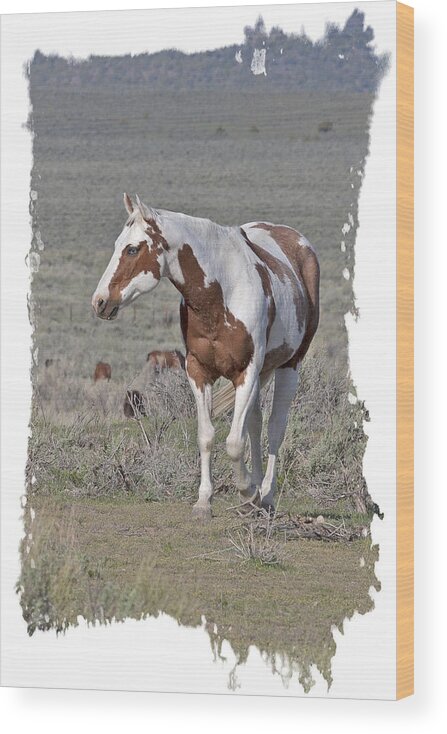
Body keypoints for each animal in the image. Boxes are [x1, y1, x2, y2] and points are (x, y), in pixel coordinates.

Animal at [93, 193, 320, 520]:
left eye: (132, 248)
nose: (99, 302)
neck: (221, 294)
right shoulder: (199, 372)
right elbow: (207, 435)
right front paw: (204, 501)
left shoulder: (246, 372)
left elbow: (235, 441)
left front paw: (247, 490)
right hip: (263, 373)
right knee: (255, 423)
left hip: (289, 366)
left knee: (276, 428)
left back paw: (265, 495)